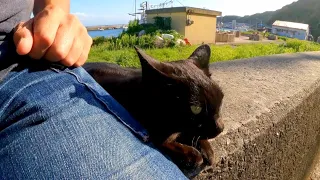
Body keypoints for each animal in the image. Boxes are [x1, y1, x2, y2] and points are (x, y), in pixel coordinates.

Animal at [85, 44, 225, 171]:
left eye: (221, 98)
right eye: (195, 108)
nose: (221, 128)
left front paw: (207, 150)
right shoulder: (154, 134)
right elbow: (167, 143)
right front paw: (192, 155)